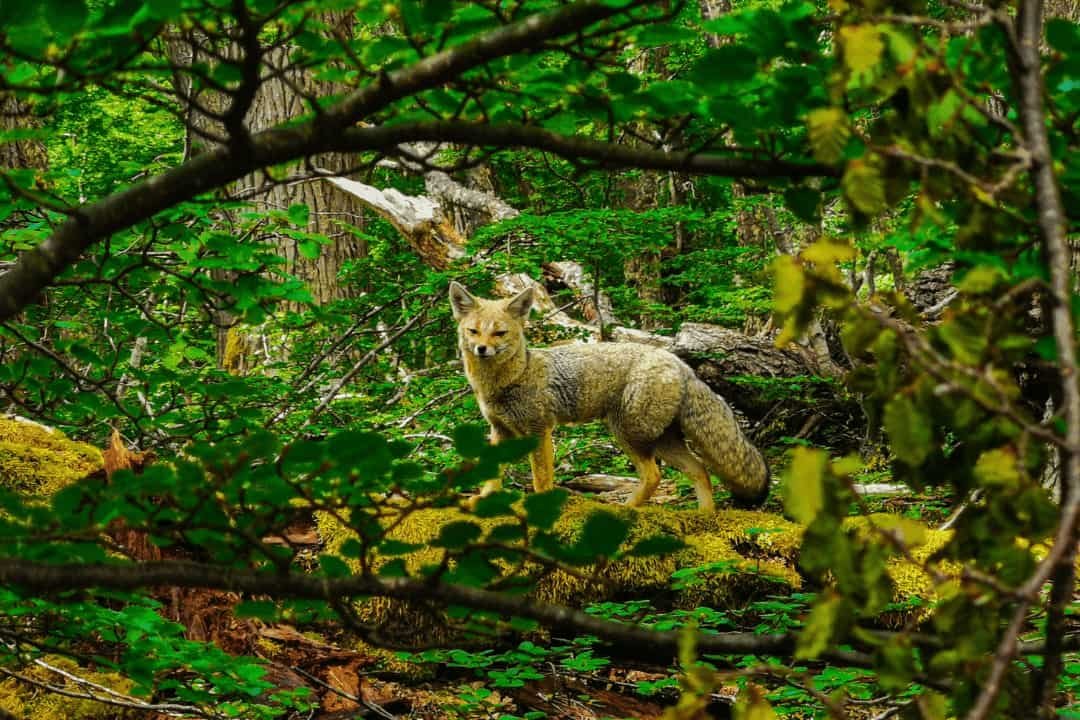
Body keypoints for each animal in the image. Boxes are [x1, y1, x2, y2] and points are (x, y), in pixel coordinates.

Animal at [451, 278, 773, 509]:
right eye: (473, 331)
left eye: (499, 333)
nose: (482, 349)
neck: (512, 377)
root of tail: (681, 364)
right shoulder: (500, 430)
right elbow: (492, 473)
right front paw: (484, 498)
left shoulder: (539, 430)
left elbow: (541, 479)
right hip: (659, 440)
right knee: (700, 471)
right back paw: (705, 516)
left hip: (628, 433)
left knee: (654, 475)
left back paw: (626, 508)